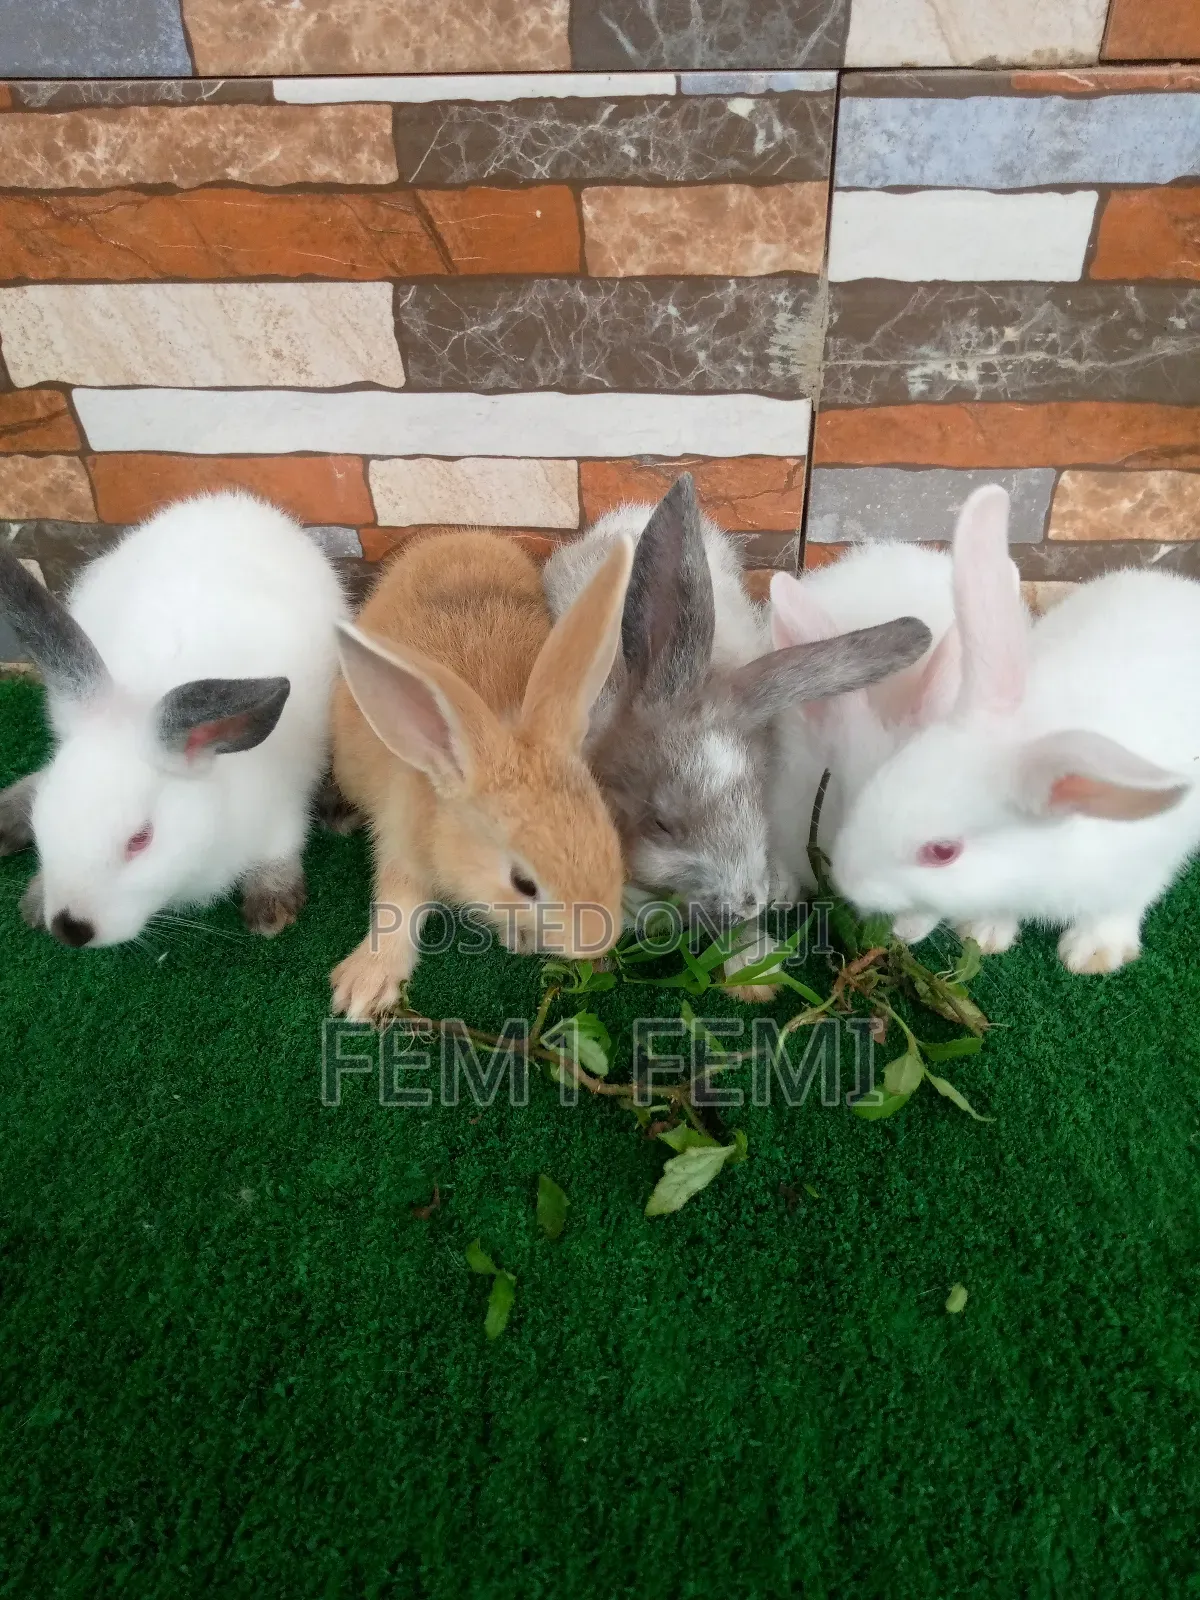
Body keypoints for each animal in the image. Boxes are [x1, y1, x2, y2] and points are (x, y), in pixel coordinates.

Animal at [0, 491, 346, 948]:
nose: (69, 929)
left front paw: (271, 909)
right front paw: (36, 898)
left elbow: (280, 852)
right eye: (46, 816)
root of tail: (229, 501)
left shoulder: (283, 810)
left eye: (141, 839)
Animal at [329, 529, 632, 1023]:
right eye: (523, 884)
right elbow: (398, 903)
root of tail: (455, 535)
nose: (595, 941)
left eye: (611, 839)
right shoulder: (400, 840)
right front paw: (365, 988)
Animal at [830, 483, 1200, 974]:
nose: (845, 879)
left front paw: (1091, 955)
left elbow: (1116, 908)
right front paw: (984, 933)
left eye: (942, 852)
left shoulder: (1140, 869)